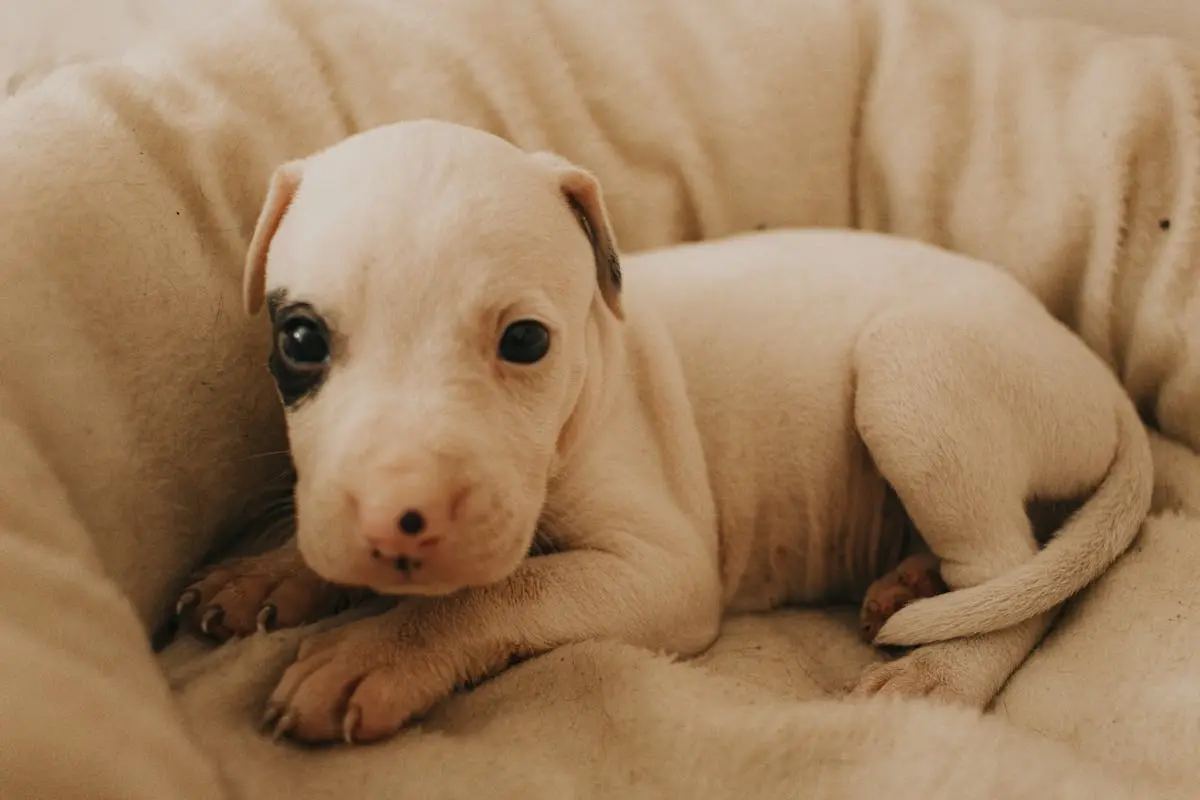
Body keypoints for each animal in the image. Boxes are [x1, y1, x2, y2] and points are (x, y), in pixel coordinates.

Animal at [180, 120, 1152, 743]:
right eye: (300, 340)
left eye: (525, 342)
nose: (397, 518)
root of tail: (1098, 377)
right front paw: (273, 570)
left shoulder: (663, 571)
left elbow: (498, 592)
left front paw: (375, 653)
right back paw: (908, 582)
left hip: (914, 373)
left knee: (1013, 578)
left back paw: (936, 672)